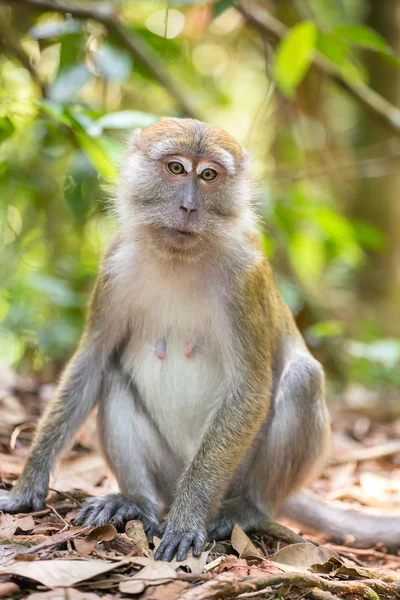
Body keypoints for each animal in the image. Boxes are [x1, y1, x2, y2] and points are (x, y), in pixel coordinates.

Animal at [1, 117, 398, 556]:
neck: (179, 257)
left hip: (238, 471)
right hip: (167, 470)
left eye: (209, 175)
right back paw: (136, 501)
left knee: (302, 378)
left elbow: (250, 389)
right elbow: (92, 362)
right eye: (176, 168)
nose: (189, 207)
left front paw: (188, 519)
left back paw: (248, 508)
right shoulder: (114, 266)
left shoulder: (245, 278)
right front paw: (28, 483)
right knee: (113, 377)